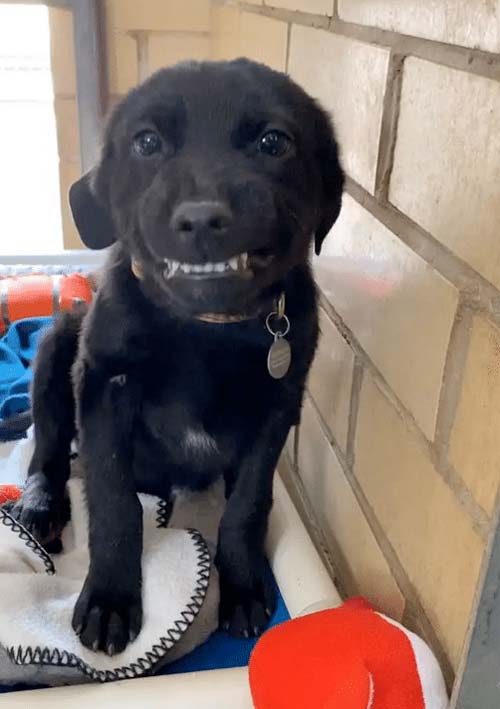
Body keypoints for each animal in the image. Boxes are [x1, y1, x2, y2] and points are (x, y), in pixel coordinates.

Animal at [9, 59, 344, 652]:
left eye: (273, 142)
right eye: (146, 142)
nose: (202, 219)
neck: (205, 328)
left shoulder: (277, 409)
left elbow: (247, 505)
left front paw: (242, 584)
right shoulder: (104, 387)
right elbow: (114, 502)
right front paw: (110, 599)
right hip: (57, 342)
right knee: (46, 448)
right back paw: (40, 503)